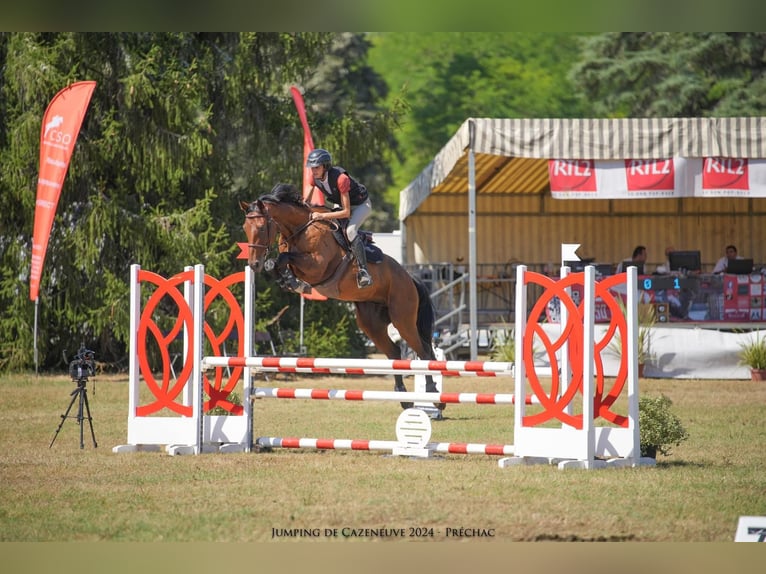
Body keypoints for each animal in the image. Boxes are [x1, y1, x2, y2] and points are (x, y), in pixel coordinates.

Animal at [240, 182, 444, 412]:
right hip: (371, 324)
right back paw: (404, 398)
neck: (300, 230)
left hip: (403, 318)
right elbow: (275, 263)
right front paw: (287, 281)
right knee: (394, 352)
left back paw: (434, 396)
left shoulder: (317, 266)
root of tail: (409, 277)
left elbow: (285, 258)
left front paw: (293, 281)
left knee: (423, 352)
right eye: (245, 228)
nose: (253, 264)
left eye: (261, 228)